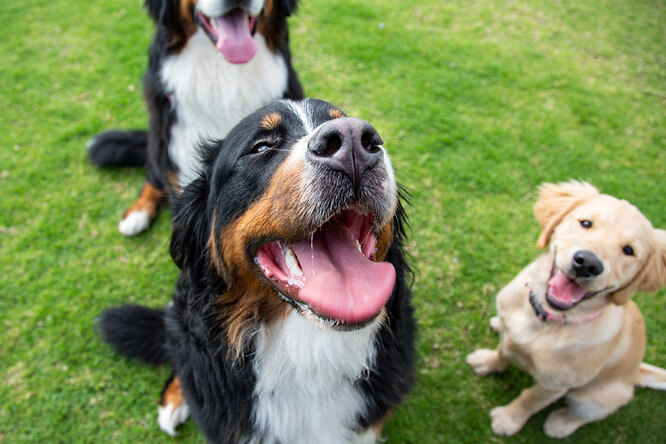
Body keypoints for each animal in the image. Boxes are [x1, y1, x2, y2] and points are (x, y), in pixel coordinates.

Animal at [466, 180, 664, 438]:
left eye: (629, 250)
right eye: (586, 223)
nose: (588, 263)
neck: (545, 319)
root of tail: (636, 373)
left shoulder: (554, 386)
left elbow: (530, 399)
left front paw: (508, 419)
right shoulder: (512, 339)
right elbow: (502, 352)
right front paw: (487, 362)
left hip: (599, 399)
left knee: (583, 415)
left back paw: (560, 424)